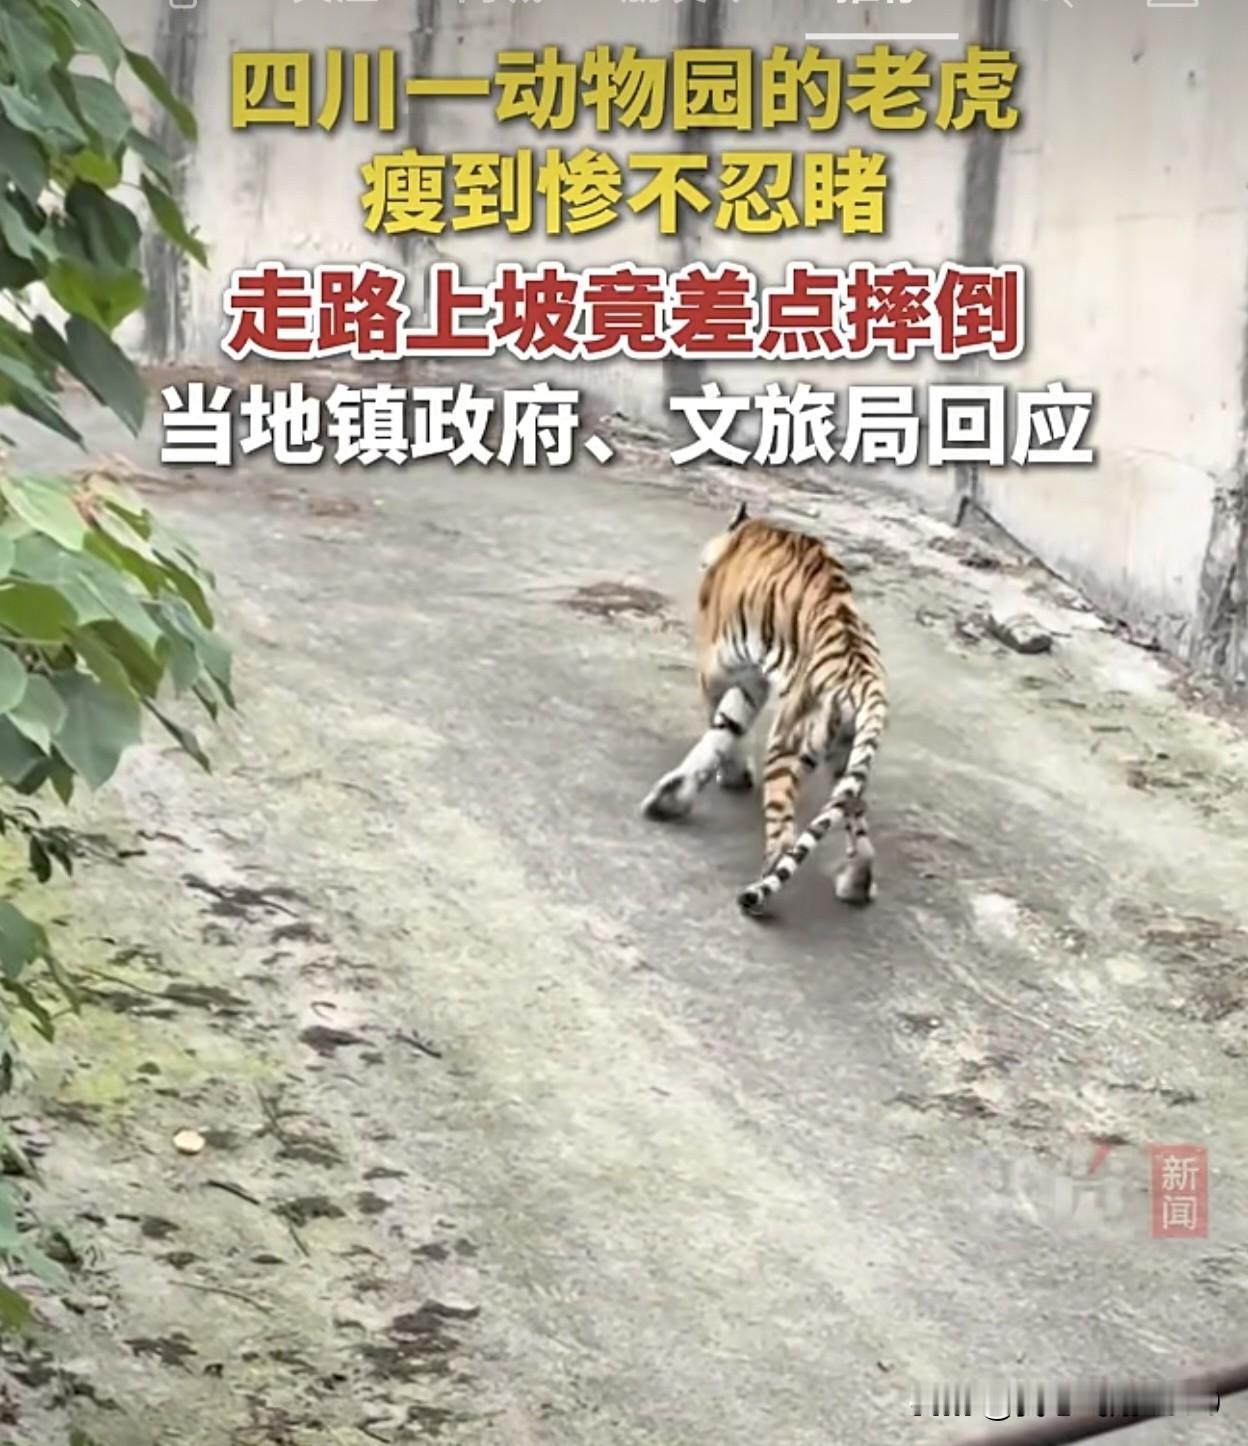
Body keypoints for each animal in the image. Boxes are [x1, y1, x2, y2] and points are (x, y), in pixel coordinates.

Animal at [640, 502, 888, 918]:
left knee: (785, 836)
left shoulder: (718, 668)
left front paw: (726, 775)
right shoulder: (751, 678)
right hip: (846, 757)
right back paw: (857, 883)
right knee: (857, 822)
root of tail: (865, 677)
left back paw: (758, 895)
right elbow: (727, 725)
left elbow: (719, 728)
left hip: (790, 744)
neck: (743, 535)